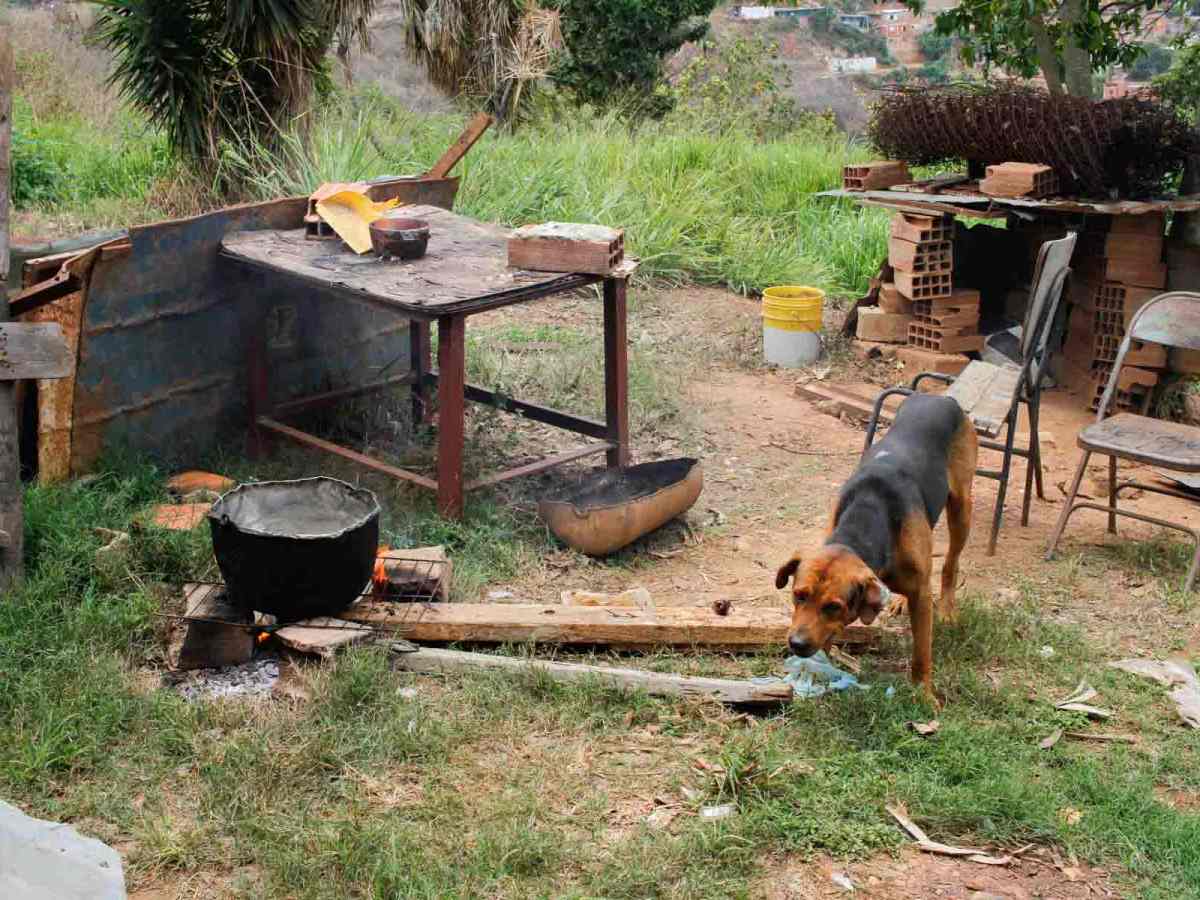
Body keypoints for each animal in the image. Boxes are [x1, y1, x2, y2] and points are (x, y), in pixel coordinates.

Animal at [774, 393, 977, 699]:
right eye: (798, 595)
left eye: (833, 606)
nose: (796, 644)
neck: (869, 515)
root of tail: (942, 396)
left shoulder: (922, 598)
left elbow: (922, 654)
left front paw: (924, 696)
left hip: (961, 508)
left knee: (950, 562)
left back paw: (946, 608)